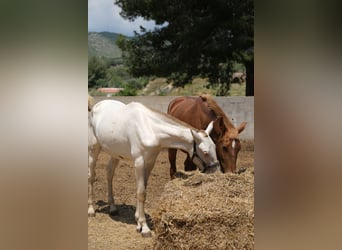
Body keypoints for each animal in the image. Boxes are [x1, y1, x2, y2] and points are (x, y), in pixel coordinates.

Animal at [88, 99, 219, 236]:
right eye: (205, 152)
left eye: (215, 146)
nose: (215, 171)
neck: (149, 128)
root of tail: (96, 106)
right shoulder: (139, 162)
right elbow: (141, 192)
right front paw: (144, 227)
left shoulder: (150, 162)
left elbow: (143, 189)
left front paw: (138, 221)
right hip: (94, 149)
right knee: (91, 176)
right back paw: (91, 209)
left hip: (115, 153)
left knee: (109, 173)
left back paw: (113, 208)